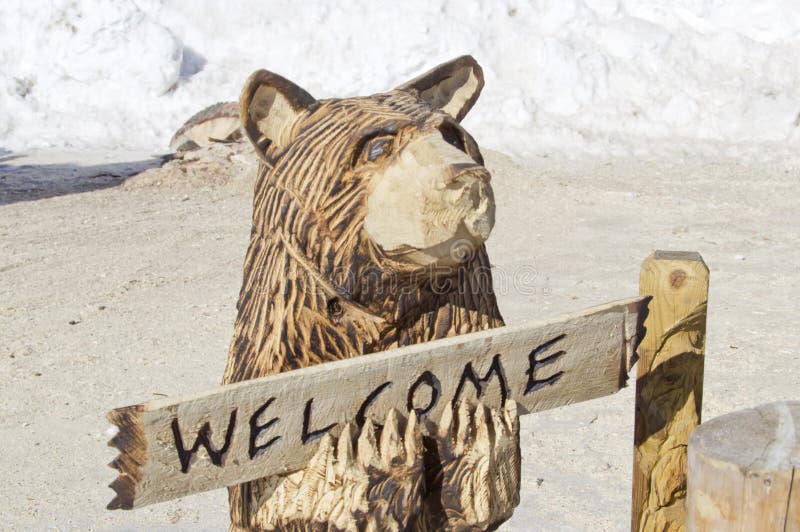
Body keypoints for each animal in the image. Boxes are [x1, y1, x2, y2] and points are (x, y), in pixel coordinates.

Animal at [223, 55, 518, 530]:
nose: (469, 177)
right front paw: (368, 454)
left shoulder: (460, 310)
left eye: (454, 136)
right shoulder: (282, 337)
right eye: (377, 147)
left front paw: (476, 429)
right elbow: (280, 489)